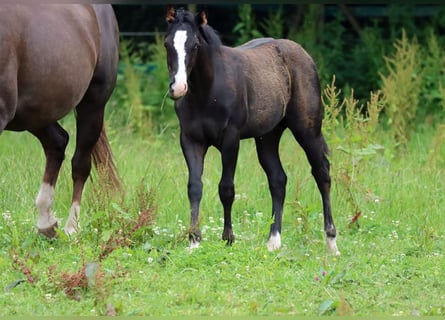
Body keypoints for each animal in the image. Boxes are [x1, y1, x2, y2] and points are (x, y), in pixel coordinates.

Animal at [0, 5, 121, 239]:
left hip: (92, 104)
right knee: (57, 142)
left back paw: (71, 228)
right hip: (36, 113)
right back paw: (46, 223)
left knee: (80, 163)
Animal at [165, 6, 338, 255]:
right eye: (167, 44)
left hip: (308, 129)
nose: (178, 88)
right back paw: (273, 241)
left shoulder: (231, 139)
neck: (207, 93)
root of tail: (304, 55)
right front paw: (194, 241)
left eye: (195, 45)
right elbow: (194, 187)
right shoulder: (190, 140)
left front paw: (228, 238)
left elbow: (226, 188)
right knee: (278, 179)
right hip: (267, 136)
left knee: (322, 173)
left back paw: (332, 243)